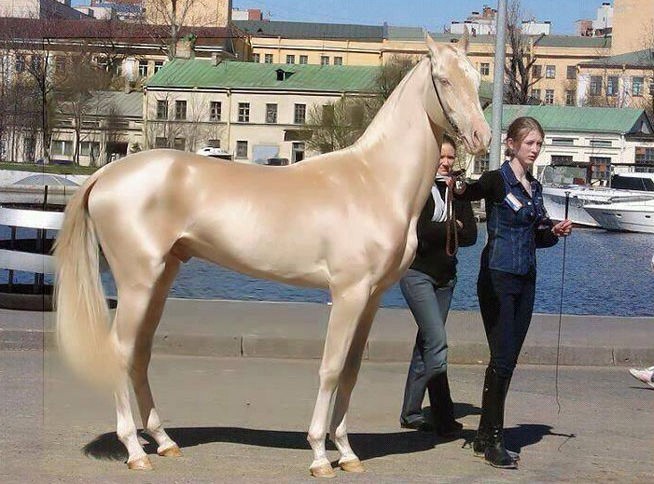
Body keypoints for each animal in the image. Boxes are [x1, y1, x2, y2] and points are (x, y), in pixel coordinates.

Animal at [54, 31, 490, 477]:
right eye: (444, 79)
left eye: (475, 78)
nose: (482, 137)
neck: (374, 180)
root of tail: (106, 174)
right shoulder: (348, 293)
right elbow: (331, 369)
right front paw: (319, 456)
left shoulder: (371, 298)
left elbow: (351, 371)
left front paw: (347, 452)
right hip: (137, 282)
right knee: (120, 352)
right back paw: (135, 450)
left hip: (160, 280)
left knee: (140, 353)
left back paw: (163, 442)